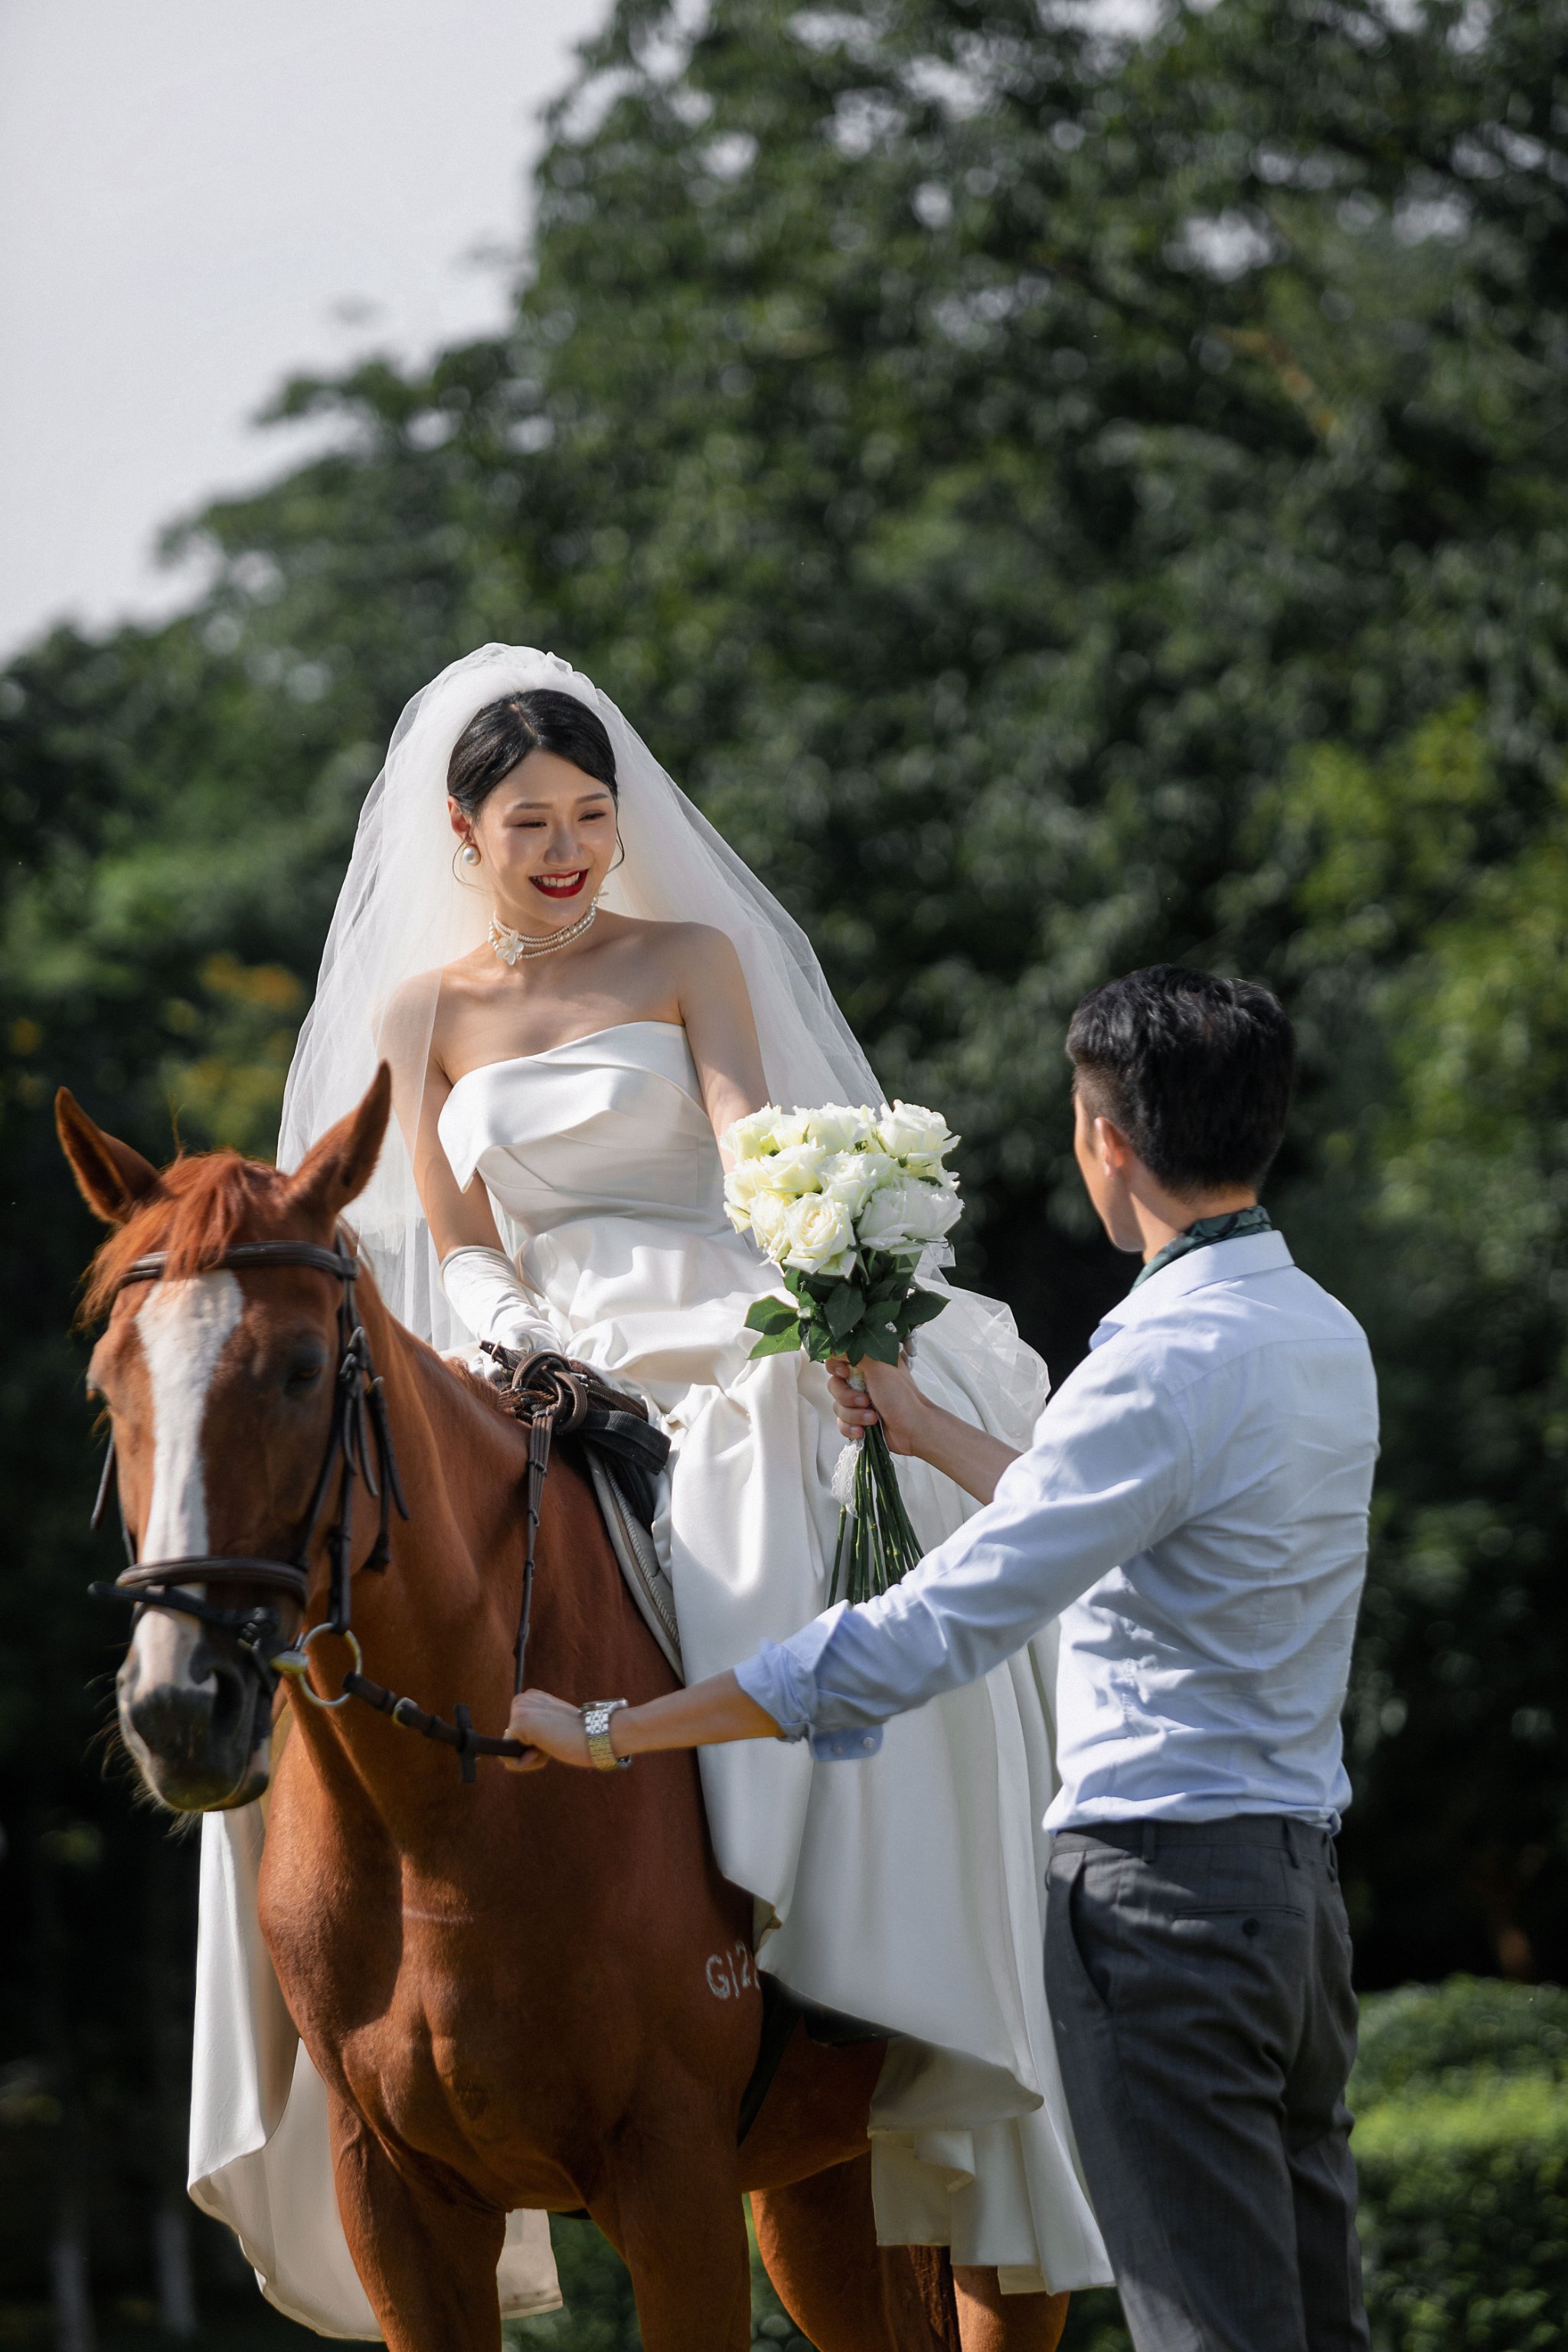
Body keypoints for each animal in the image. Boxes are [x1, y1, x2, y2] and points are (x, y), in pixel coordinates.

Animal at [57, 1076, 1067, 2352]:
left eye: (299, 1367)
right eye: (108, 1386)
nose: (181, 1706)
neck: (435, 1821)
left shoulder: (673, 2178)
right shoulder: (397, 2204)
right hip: (822, 2188)